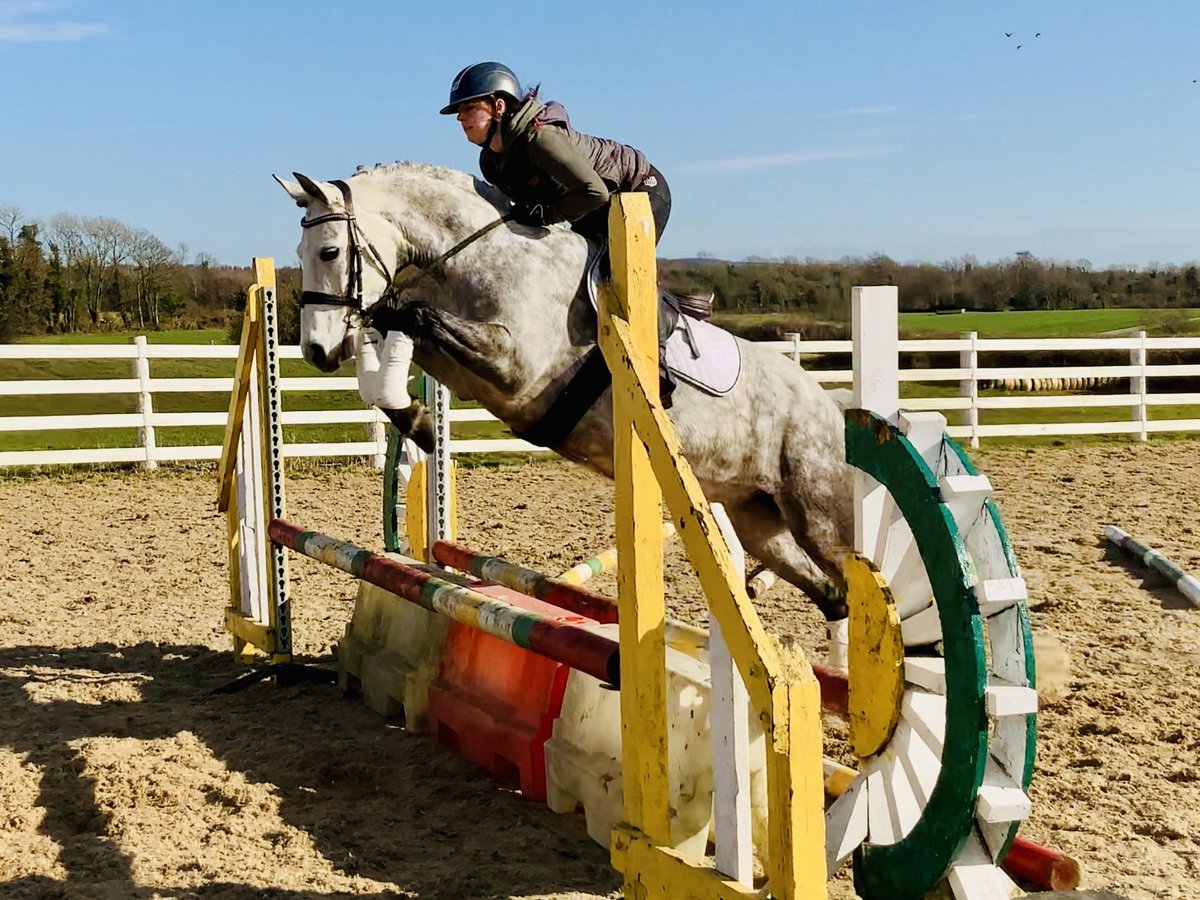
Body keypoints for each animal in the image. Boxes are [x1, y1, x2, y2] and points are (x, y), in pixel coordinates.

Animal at [274, 162, 854, 624]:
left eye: (329, 251)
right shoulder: (467, 372)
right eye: (298, 250)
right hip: (758, 520)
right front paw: (418, 424)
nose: (317, 351)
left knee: (858, 578)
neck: (482, 256)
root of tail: (831, 408)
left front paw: (416, 421)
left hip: (817, 513)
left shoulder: (514, 365)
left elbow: (414, 314)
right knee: (832, 595)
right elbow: (397, 344)